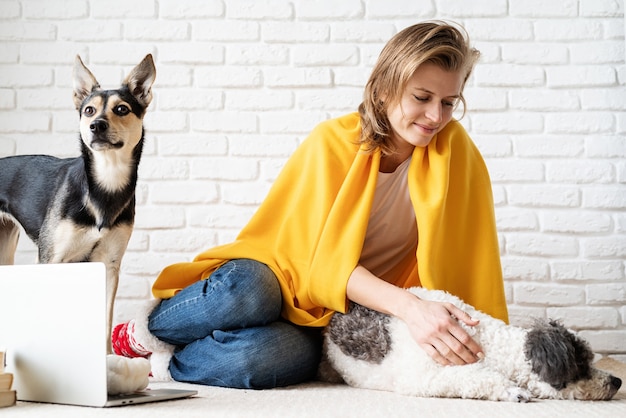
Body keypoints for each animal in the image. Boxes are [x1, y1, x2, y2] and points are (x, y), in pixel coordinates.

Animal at [0, 53, 155, 352]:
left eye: (121, 109)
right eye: (89, 111)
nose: (97, 126)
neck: (104, 184)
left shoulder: (109, 265)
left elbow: (105, 320)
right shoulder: (51, 259)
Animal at [320, 288, 620, 402]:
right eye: (581, 365)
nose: (617, 381)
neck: (485, 341)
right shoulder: (425, 375)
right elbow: (474, 377)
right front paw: (512, 391)